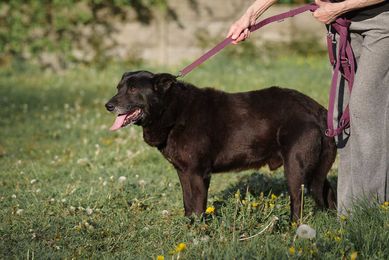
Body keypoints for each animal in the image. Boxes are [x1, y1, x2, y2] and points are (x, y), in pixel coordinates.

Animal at [104, 70, 334, 220]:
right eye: (118, 88)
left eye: (133, 89)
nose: (108, 105)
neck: (174, 110)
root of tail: (317, 109)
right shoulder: (183, 172)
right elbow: (188, 203)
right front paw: (187, 227)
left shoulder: (198, 173)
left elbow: (198, 206)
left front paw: (197, 233)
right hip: (314, 169)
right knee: (327, 191)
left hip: (295, 168)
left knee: (298, 201)